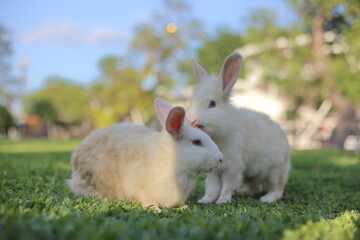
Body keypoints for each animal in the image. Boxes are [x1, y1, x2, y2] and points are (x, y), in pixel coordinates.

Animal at [67, 97, 222, 208]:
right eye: (196, 142)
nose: (221, 159)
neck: (173, 161)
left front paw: (183, 207)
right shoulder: (141, 191)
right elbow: (148, 201)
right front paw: (157, 210)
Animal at [187, 52, 292, 204]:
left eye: (212, 103)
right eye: (191, 102)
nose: (191, 119)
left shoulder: (233, 167)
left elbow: (227, 186)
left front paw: (222, 200)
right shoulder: (214, 171)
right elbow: (212, 187)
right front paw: (205, 200)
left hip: (276, 171)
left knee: (277, 189)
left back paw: (266, 198)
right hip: (251, 176)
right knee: (255, 187)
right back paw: (245, 192)